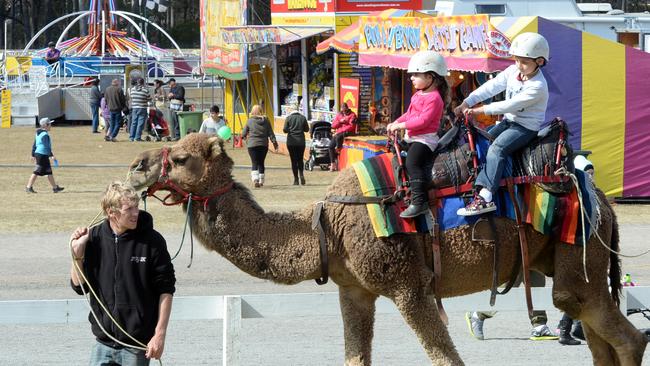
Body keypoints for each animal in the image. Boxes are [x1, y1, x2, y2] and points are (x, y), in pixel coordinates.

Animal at [126, 134, 644, 364]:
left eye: (181, 157)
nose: (135, 166)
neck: (327, 224)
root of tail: (603, 200)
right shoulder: (353, 291)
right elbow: (356, 356)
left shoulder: (408, 286)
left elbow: (445, 357)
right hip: (573, 259)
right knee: (597, 331)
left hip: (580, 249)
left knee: (621, 334)